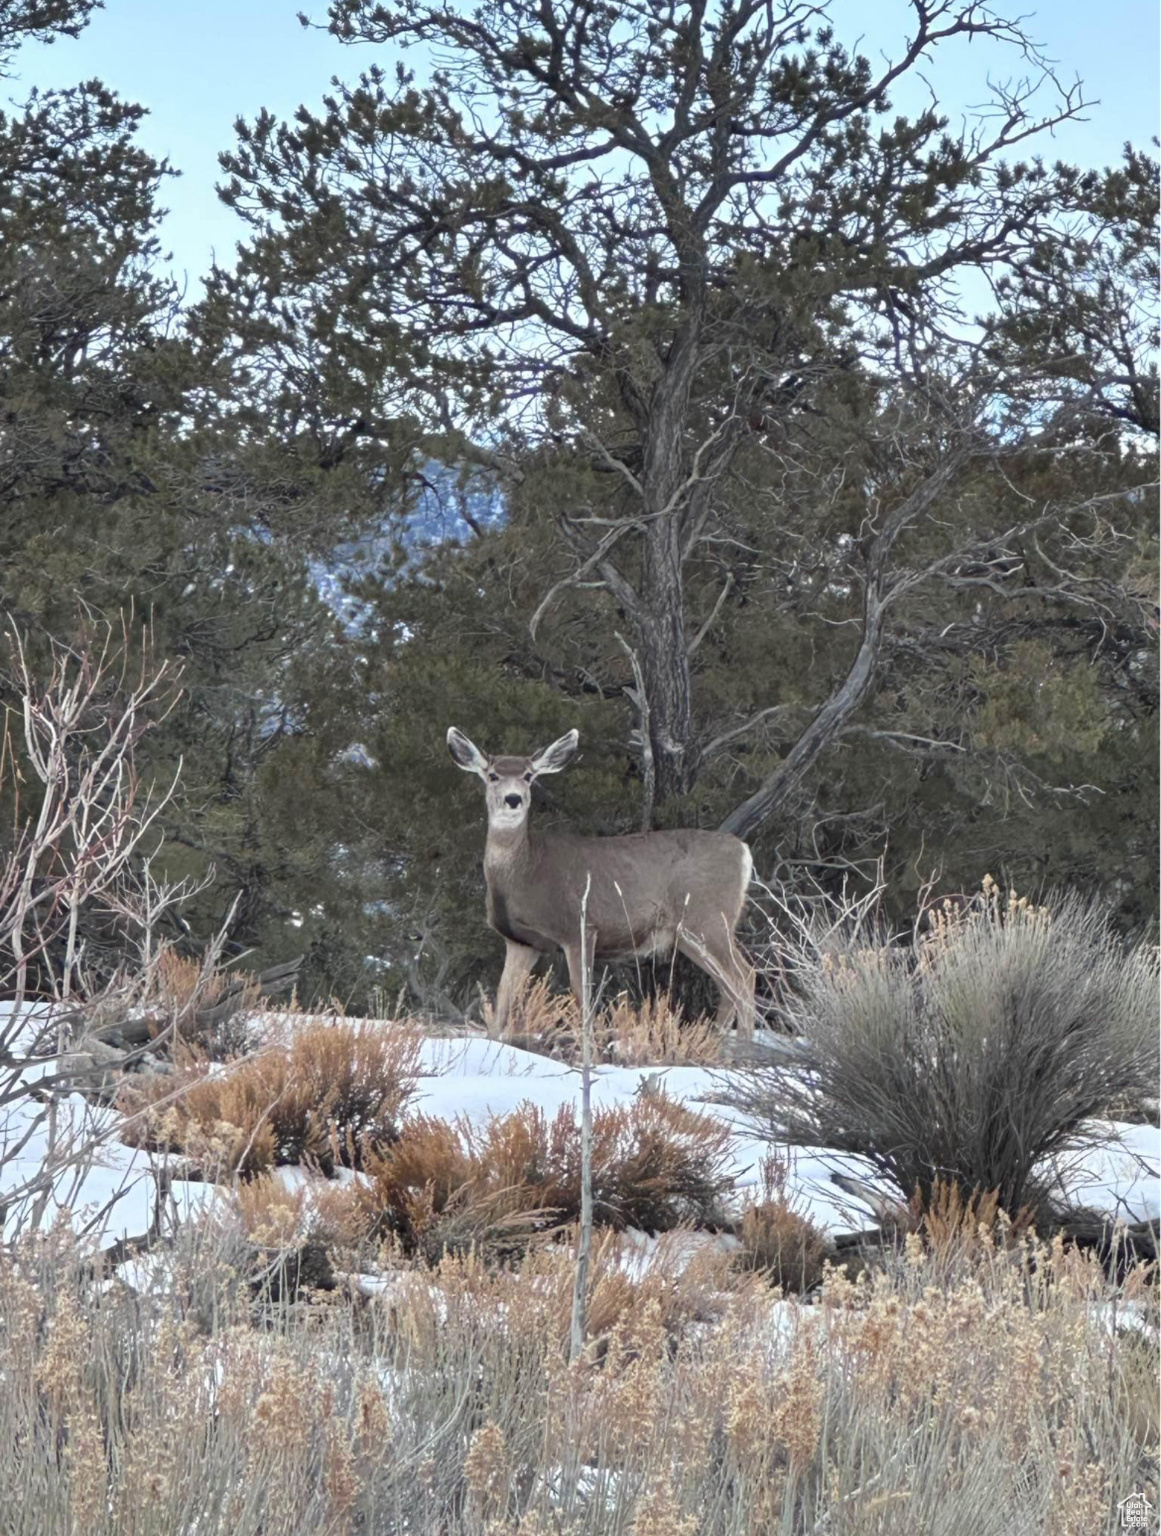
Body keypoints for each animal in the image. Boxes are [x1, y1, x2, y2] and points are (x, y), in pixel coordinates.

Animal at [442, 724, 752, 1038]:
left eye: (529, 775)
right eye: (493, 775)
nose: (513, 799)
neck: (526, 872)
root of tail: (742, 850)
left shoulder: (579, 927)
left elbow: (583, 998)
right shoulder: (522, 942)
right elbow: (502, 1002)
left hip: (708, 918)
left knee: (744, 977)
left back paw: (745, 1041)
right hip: (687, 933)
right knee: (727, 986)